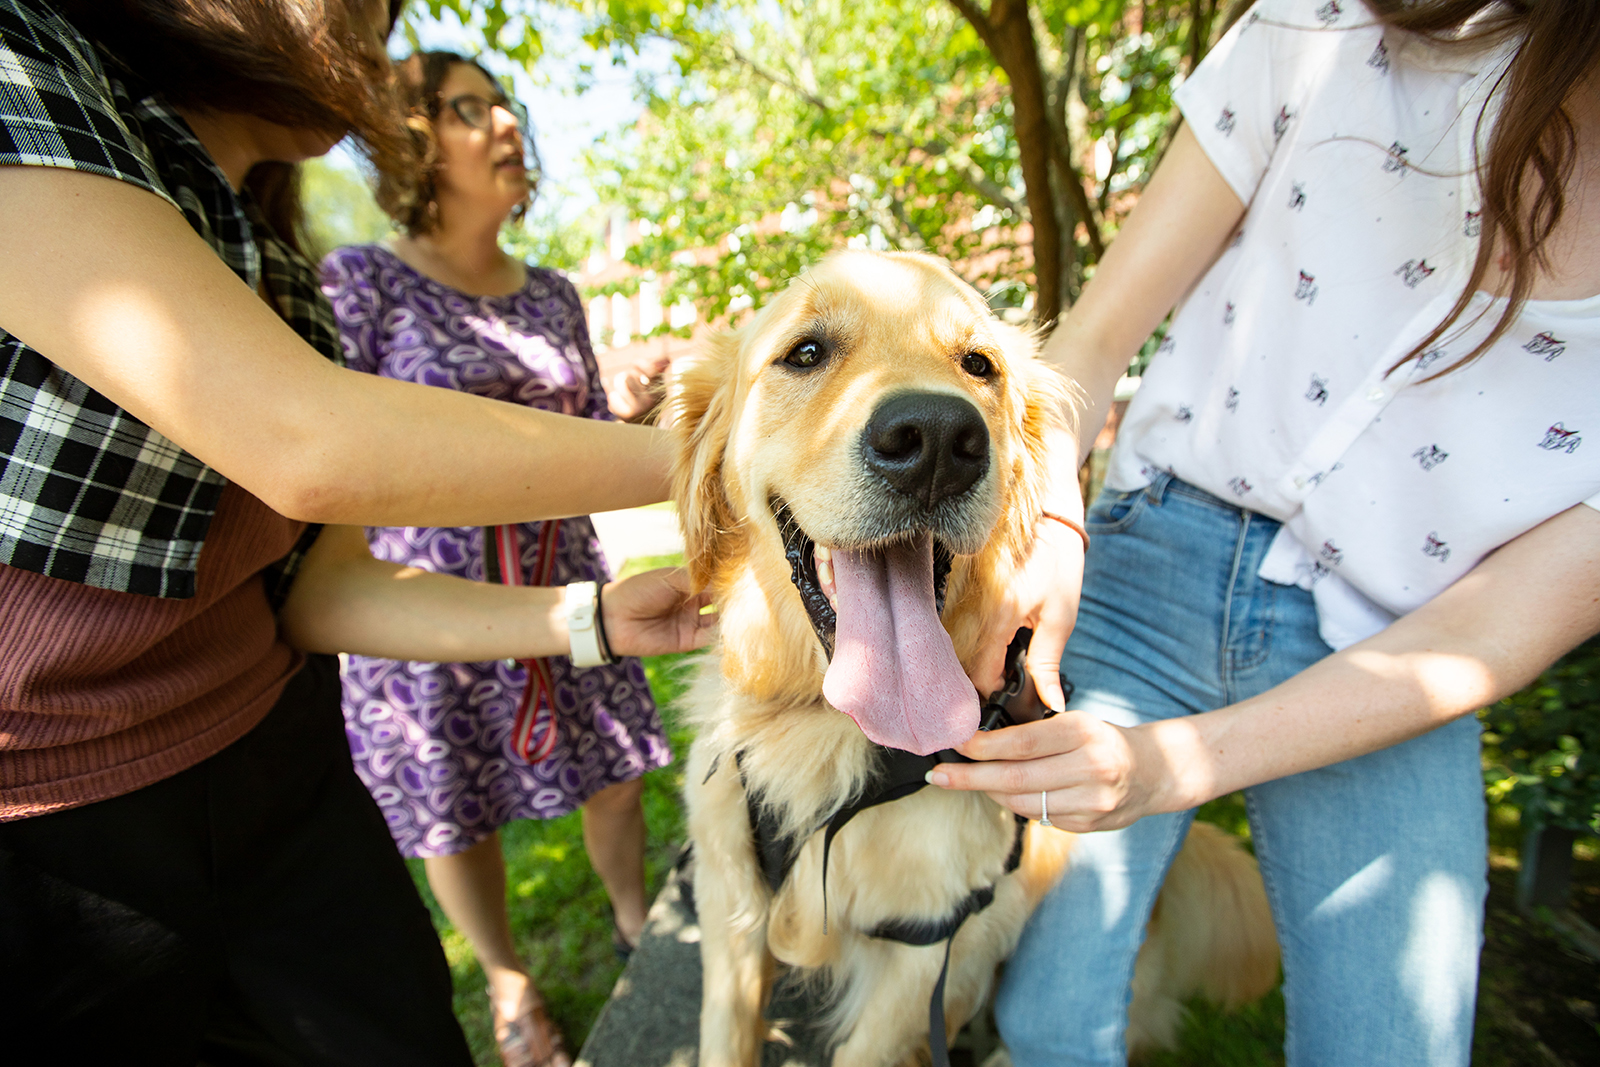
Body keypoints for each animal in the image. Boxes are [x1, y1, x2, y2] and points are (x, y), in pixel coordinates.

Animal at [668, 252, 1280, 1067]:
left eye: (979, 365)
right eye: (806, 352)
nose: (935, 438)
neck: (829, 735)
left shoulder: (941, 949)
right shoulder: (729, 903)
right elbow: (723, 1033)